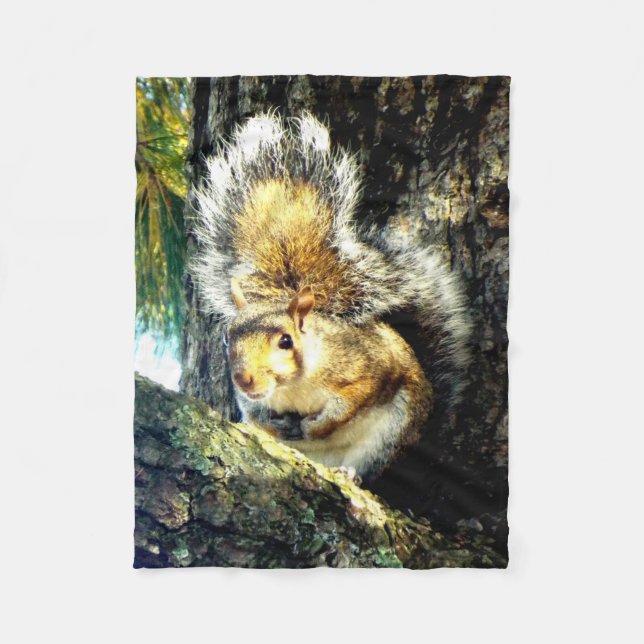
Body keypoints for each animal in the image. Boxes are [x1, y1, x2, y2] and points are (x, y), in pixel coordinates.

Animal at [190, 112, 472, 480]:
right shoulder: (251, 399)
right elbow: (253, 408)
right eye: (226, 339)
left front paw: (318, 426)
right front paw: (273, 422)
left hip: (391, 430)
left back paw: (348, 473)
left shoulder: (365, 364)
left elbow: (353, 400)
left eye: (285, 341)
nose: (244, 378)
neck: (295, 385)